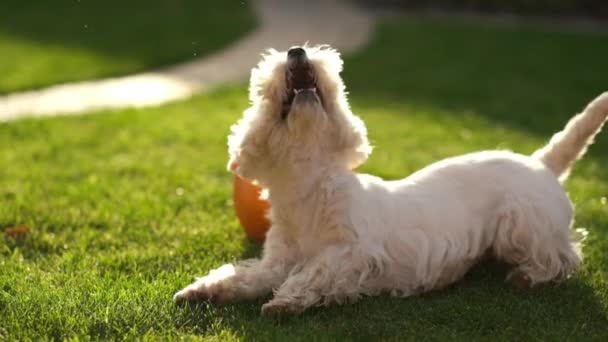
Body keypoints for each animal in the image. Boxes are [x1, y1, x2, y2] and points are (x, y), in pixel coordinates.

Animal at [173, 45, 604, 316]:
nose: (296, 51)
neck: (308, 187)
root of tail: (541, 162)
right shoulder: (278, 260)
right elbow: (246, 275)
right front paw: (201, 290)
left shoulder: (356, 250)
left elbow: (317, 270)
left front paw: (285, 301)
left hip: (525, 226)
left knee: (565, 256)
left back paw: (527, 276)